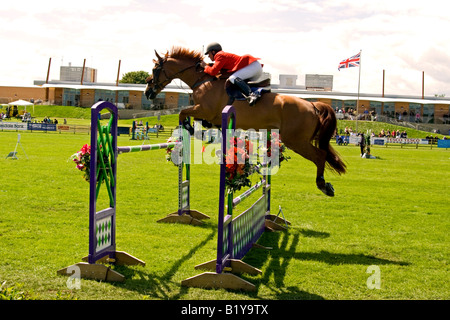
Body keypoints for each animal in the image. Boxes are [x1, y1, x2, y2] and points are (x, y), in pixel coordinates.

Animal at [146, 46, 346, 196]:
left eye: (155, 70)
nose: (148, 92)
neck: (202, 81)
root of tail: (312, 104)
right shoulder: (209, 115)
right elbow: (201, 122)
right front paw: (205, 133)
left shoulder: (204, 109)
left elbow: (182, 114)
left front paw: (190, 128)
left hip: (296, 140)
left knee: (319, 156)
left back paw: (323, 185)